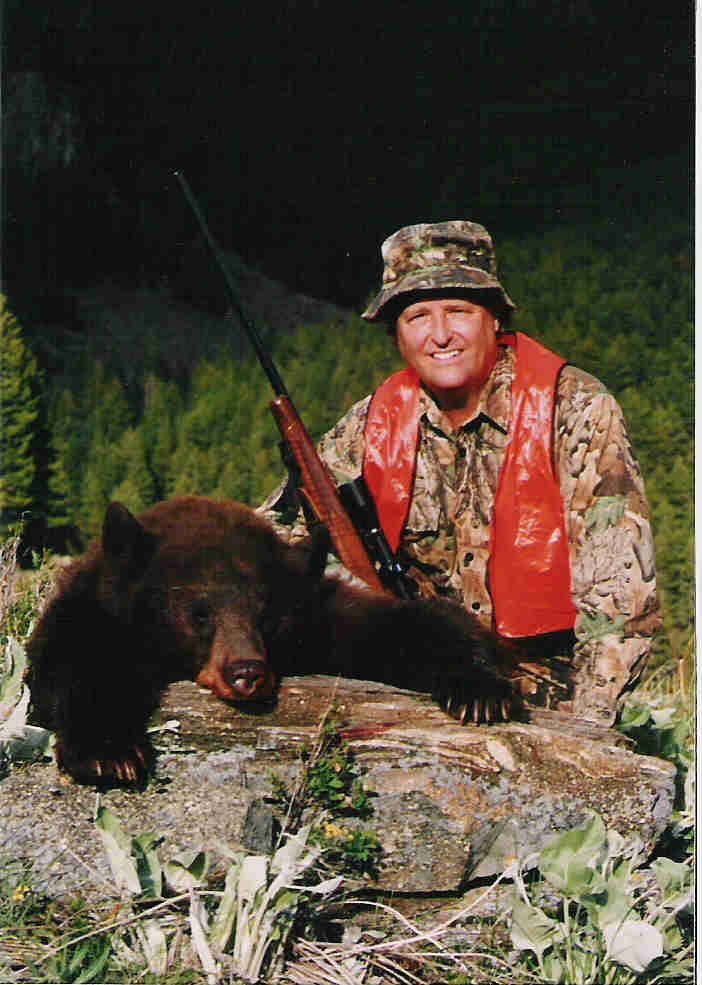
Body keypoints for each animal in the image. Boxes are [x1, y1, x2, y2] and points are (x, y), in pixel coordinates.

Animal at [27, 496, 516, 787]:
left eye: (267, 615)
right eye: (198, 613)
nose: (246, 673)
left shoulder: (318, 618)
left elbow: (405, 625)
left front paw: (480, 692)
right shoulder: (97, 611)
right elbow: (78, 660)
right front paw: (110, 754)